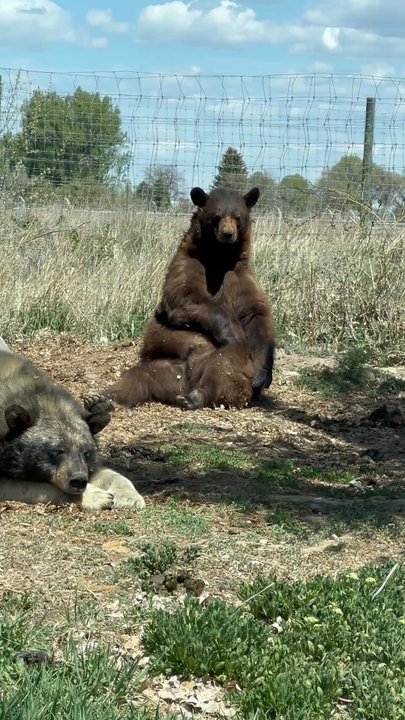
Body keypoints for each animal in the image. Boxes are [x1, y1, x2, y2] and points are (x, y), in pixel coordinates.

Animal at [0, 347, 145, 510]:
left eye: (86, 453)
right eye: (57, 451)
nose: (79, 481)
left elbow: (108, 472)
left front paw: (130, 496)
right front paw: (95, 496)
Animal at [106, 185, 274, 410]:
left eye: (237, 217)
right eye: (216, 216)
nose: (228, 234)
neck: (219, 259)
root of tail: (187, 382)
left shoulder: (240, 278)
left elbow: (256, 314)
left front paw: (262, 375)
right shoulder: (188, 266)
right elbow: (184, 297)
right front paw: (230, 332)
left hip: (232, 373)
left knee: (223, 365)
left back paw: (194, 397)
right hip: (165, 367)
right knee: (139, 376)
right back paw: (106, 398)